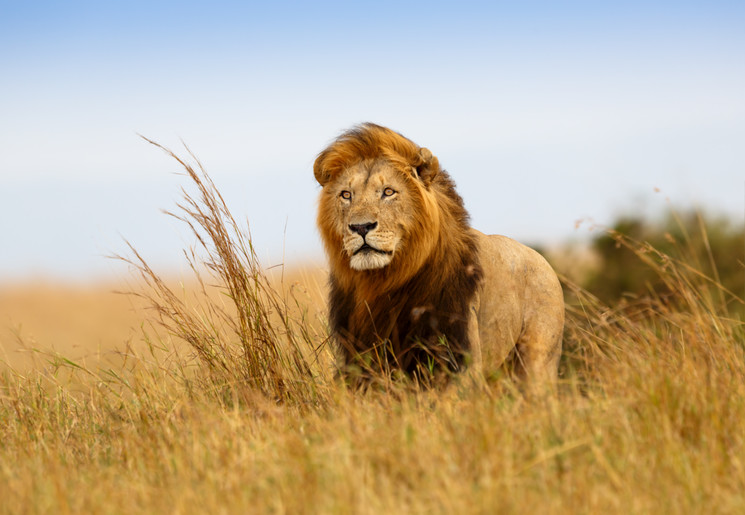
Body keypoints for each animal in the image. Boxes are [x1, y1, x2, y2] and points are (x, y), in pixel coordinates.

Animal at [314, 123, 564, 384]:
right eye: (346, 195)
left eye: (388, 192)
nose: (361, 227)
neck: (383, 282)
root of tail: (543, 260)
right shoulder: (358, 357)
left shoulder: (458, 355)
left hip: (538, 361)